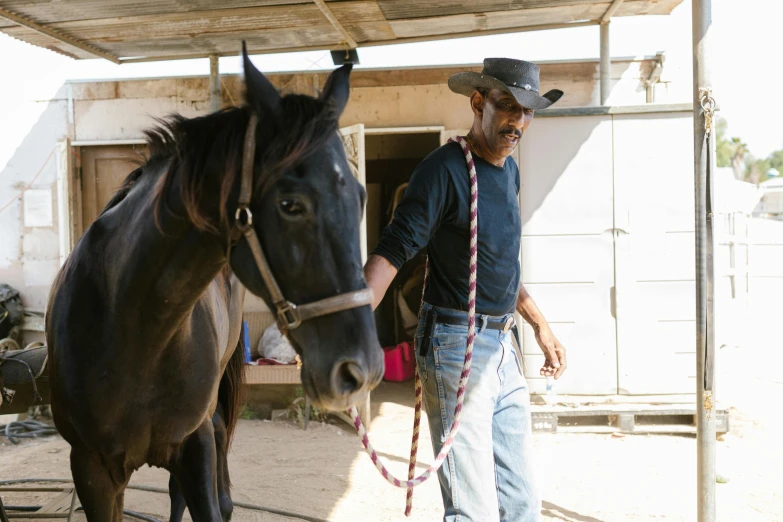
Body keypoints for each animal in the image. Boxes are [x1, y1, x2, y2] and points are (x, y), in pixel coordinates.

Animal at [45, 45, 382, 520]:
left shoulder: (195, 444)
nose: (361, 370)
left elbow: (208, 501)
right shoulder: (92, 469)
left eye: (360, 196)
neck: (131, 330)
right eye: (290, 204)